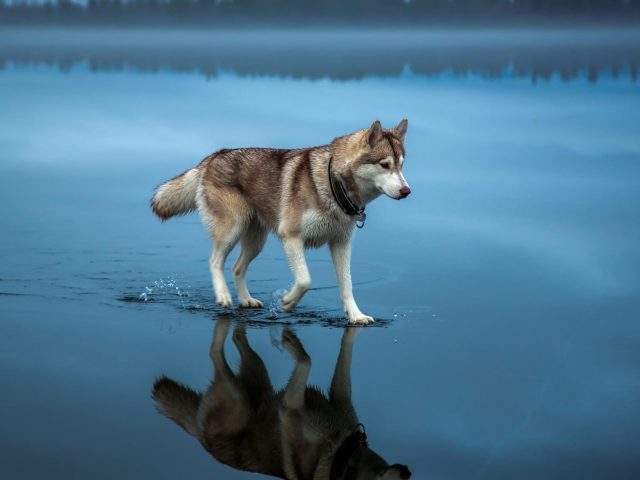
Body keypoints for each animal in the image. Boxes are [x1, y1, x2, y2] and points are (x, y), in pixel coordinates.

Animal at [150, 120, 410, 324]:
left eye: (401, 165)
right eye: (385, 165)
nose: (407, 191)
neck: (333, 184)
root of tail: (215, 155)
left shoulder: (341, 244)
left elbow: (347, 285)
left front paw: (356, 316)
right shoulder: (292, 237)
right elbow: (305, 280)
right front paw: (287, 301)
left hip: (256, 241)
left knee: (236, 268)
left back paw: (246, 300)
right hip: (232, 229)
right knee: (215, 261)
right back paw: (223, 296)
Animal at [153, 320, 412, 478]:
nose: (408, 472)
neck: (342, 454)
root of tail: (200, 438)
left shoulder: (339, 397)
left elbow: (345, 354)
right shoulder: (290, 409)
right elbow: (306, 360)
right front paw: (291, 343)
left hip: (258, 376)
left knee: (237, 338)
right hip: (238, 400)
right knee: (215, 352)